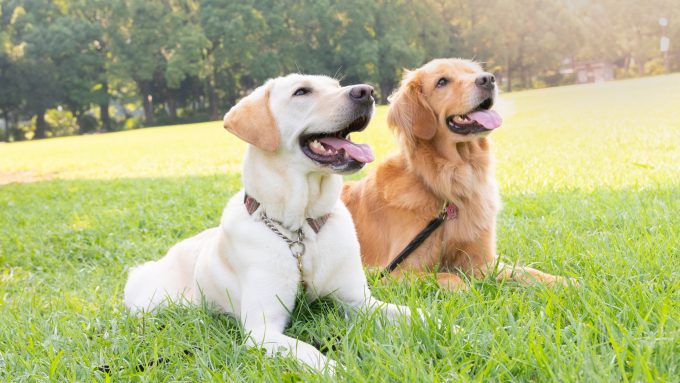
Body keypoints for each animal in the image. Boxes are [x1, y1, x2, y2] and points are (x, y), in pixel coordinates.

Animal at [123, 73, 420, 374]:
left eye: (336, 86)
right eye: (301, 92)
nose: (367, 92)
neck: (300, 230)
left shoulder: (361, 301)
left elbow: (414, 313)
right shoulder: (262, 329)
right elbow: (307, 350)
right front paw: (342, 371)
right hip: (152, 301)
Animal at [342, 58, 572, 290]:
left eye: (472, 72)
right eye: (442, 82)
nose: (488, 79)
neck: (451, 183)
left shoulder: (482, 262)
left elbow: (525, 271)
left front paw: (565, 281)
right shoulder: (392, 272)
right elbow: (448, 276)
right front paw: (467, 290)